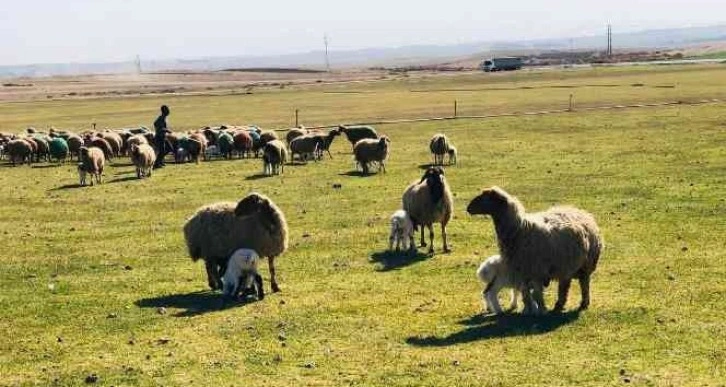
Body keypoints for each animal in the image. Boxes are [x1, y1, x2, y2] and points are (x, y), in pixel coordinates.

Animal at [470, 188, 604, 316]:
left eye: (485, 198)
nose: (468, 208)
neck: (520, 230)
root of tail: (581, 211)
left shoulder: (536, 270)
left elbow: (536, 293)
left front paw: (541, 310)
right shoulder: (522, 272)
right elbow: (526, 294)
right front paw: (528, 310)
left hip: (584, 266)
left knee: (583, 285)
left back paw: (580, 304)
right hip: (566, 266)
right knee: (565, 285)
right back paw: (559, 305)